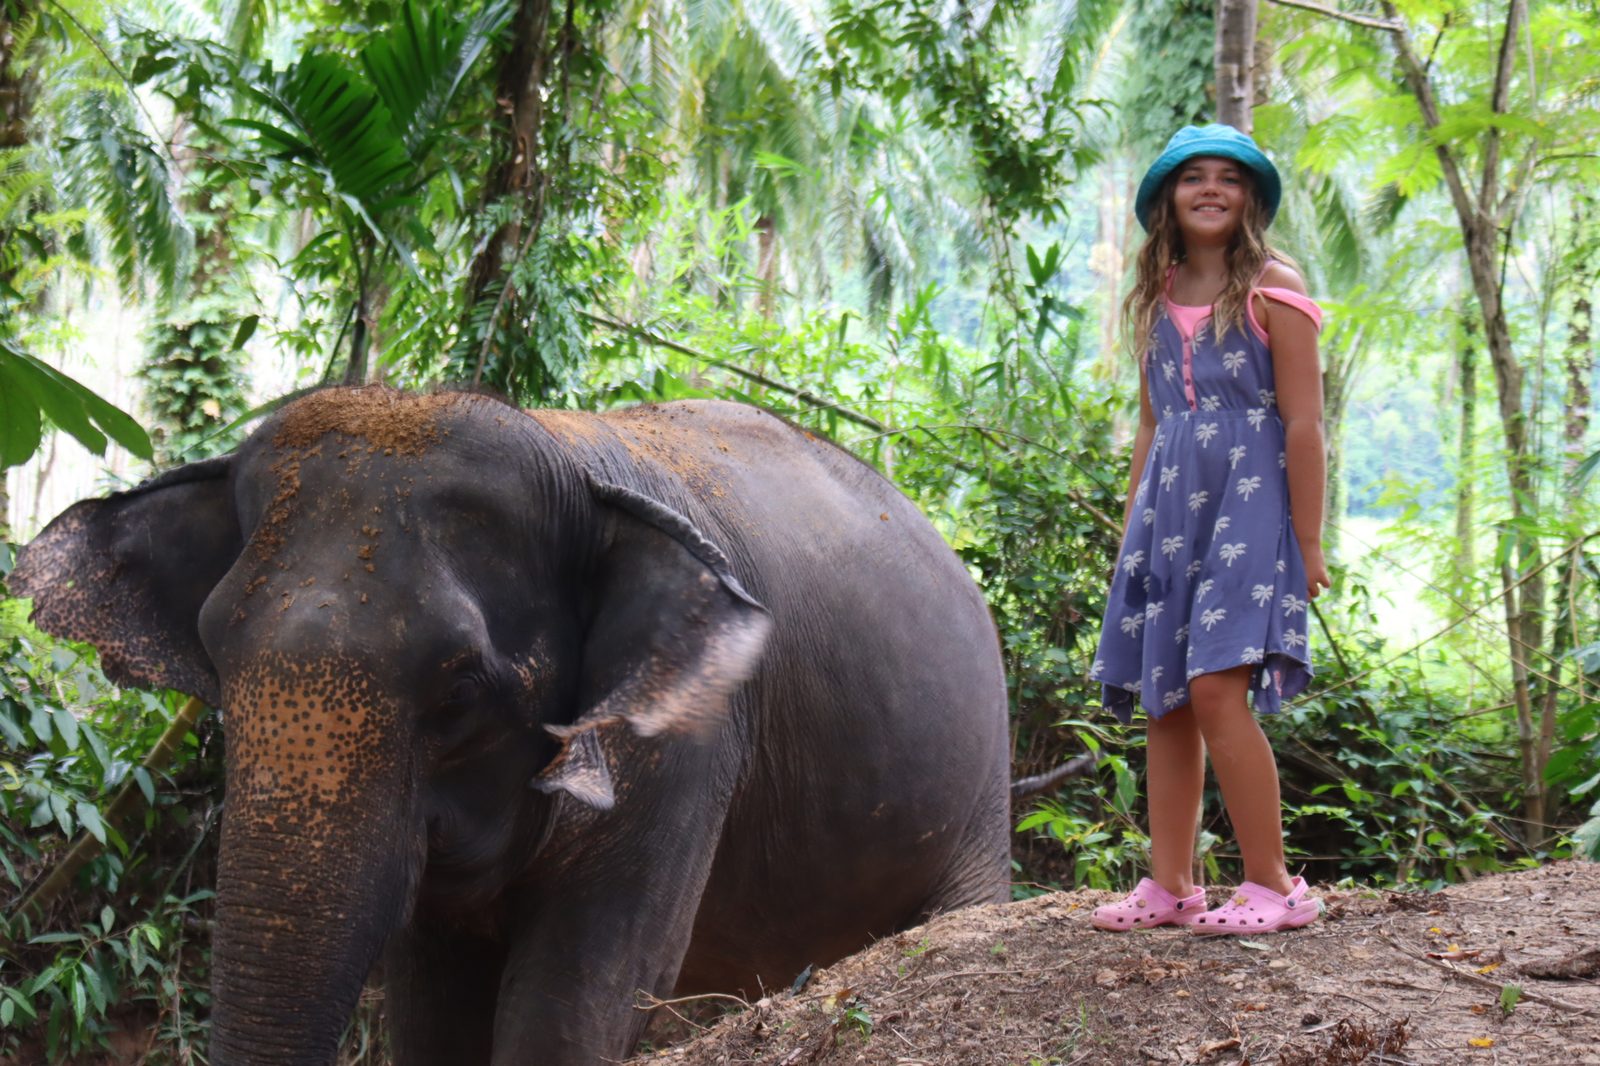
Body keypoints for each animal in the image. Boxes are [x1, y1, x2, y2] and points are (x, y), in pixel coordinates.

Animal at [10, 386, 1010, 1066]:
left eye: (459, 693)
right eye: (216, 663)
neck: (565, 448)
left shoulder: (690, 739)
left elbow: (581, 996)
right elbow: (431, 1007)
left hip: (982, 780)